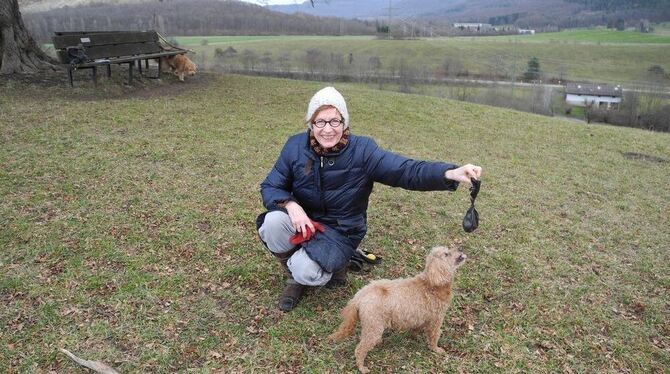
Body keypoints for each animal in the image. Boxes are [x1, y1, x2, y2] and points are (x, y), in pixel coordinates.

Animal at [330, 247, 468, 372]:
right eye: (446, 254)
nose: (461, 249)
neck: (432, 284)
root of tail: (359, 296)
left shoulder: (420, 316)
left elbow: (416, 329)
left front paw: (414, 336)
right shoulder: (436, 319)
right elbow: (434, 335)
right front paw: (436, 349)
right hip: (374, 327)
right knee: (360, 349)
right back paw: (362, 367)